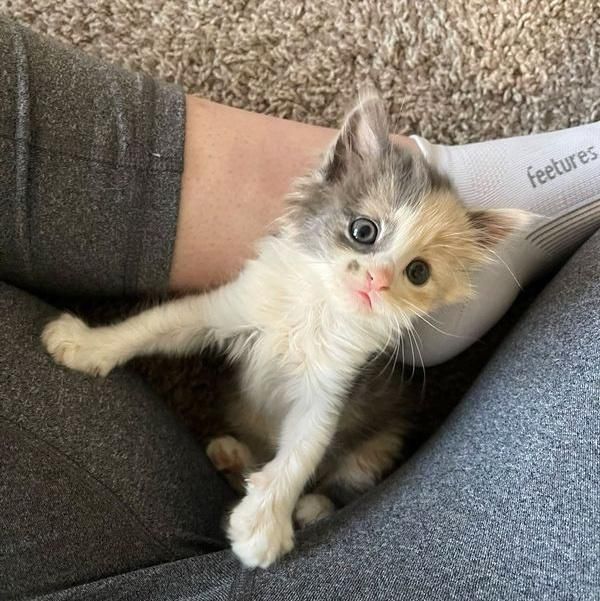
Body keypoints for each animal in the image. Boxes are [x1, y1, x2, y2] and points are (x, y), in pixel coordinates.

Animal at [42, 94, 528, 568]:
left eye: (418, 272)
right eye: (364, 230)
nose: (378, 281)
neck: (316, 309)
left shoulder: (332, 388)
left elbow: (301, 452)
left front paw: (263, 525)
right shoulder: (226, 308)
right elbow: (156, 324)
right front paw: (87, 344)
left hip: (379, 443)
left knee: (340, 480)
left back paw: (307, 505)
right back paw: (233, 457)